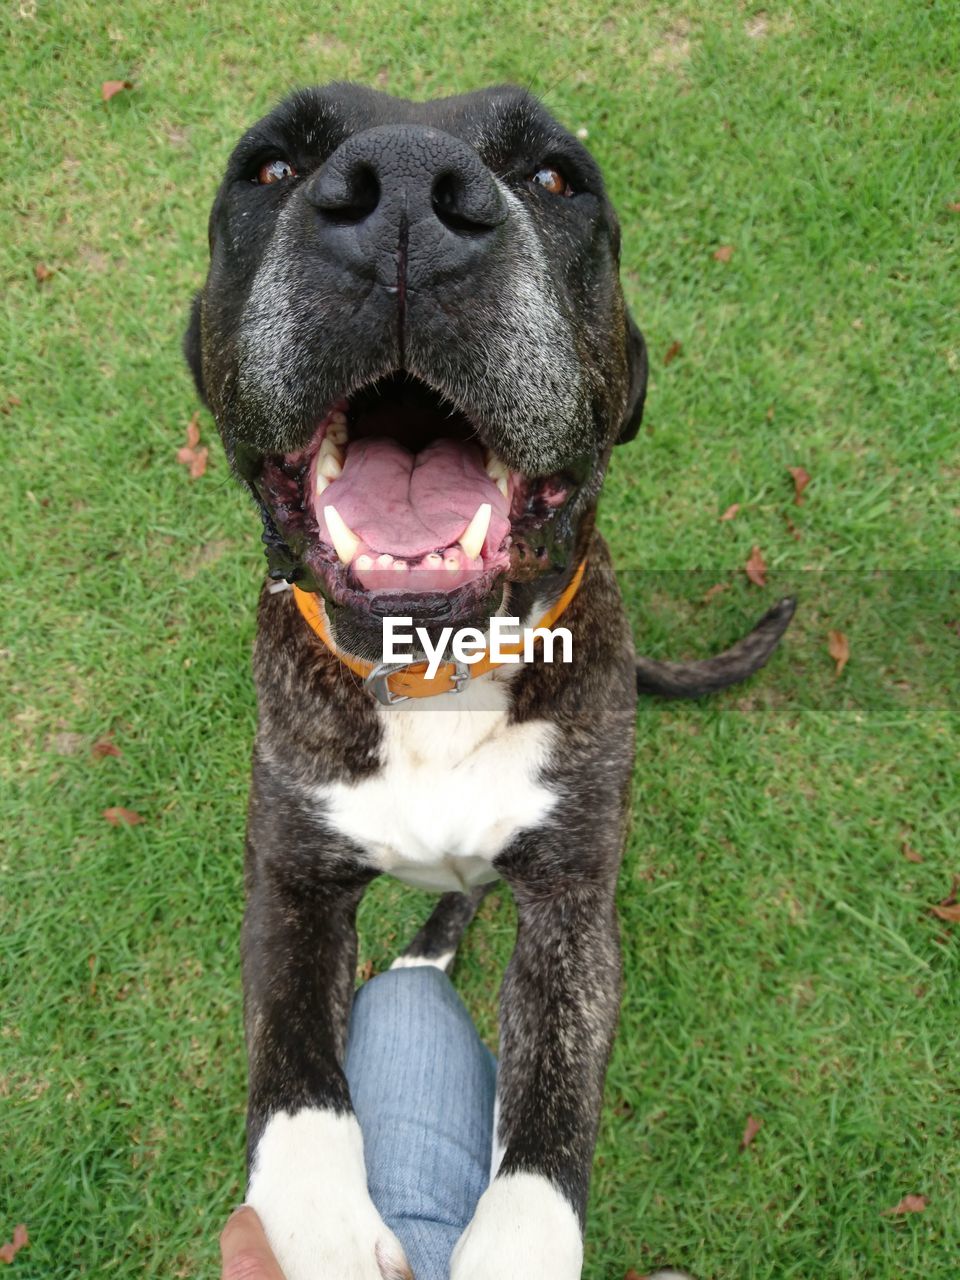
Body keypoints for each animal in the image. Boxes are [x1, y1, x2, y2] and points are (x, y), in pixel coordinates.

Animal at [184, 82, 793, 1280]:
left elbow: (548, 1118)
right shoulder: (288, 882)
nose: (404, 196)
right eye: (270, 169)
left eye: (558, 178)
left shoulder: (570, 912)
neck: (434, 678)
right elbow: (293, 1074)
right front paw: (321, 1225)